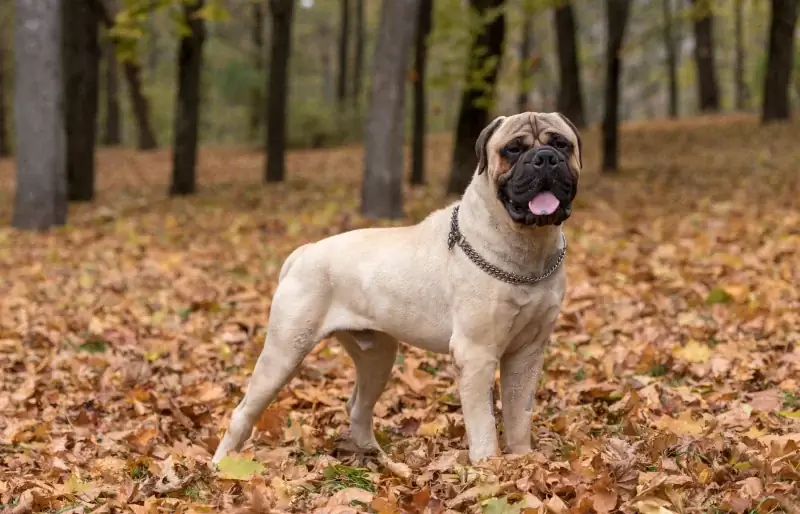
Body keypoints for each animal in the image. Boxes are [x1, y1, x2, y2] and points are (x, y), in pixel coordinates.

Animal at [211, 112, 580, 464]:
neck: (529, 249)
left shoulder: (527, 353)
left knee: (358, 407)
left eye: (562, 144)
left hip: (377, 356)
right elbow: (484, 424)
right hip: (284, 351)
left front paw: (522, 462)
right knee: (243, 412)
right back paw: (221, 465)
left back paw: (377, 459)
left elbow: (519, 415)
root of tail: (304, 252)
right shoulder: (476, 353)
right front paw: (490, 469)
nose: (545, 158)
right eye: (513, 150)